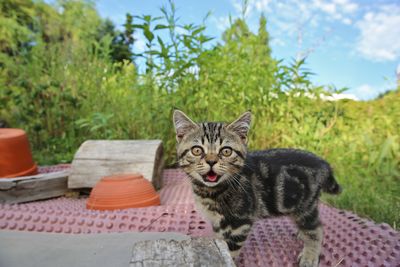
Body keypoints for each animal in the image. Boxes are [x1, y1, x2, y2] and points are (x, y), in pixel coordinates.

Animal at [172, 110, 340, 266]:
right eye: (197, 150)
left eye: (226, 151)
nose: (211, 161)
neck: (210, 191)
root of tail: (324, 164)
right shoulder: (218, 223)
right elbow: (220, 243)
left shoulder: (240, 222)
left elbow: (230, 250)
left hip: (305, 206)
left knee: (316, 229)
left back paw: (309, 256)